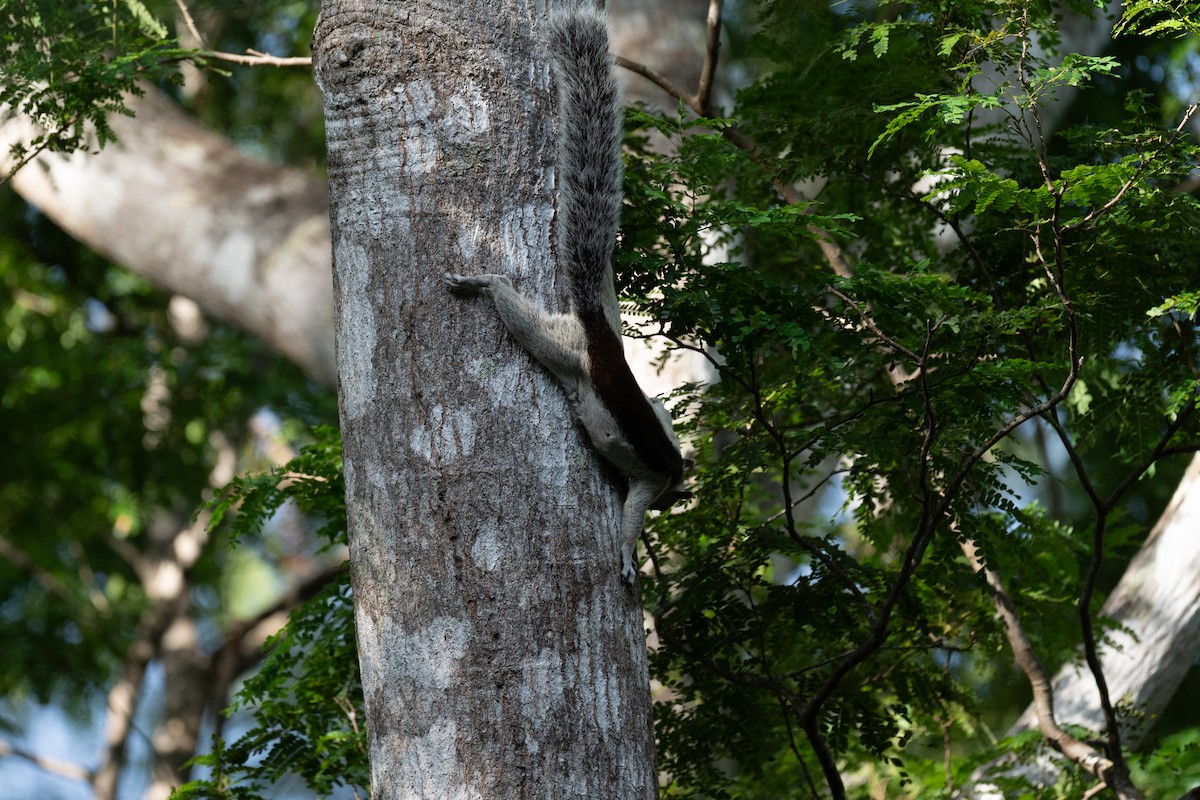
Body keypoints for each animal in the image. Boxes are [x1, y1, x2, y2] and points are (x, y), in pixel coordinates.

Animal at [444, 7, 690, 585]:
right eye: (673, 497)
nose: (681, 499)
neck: (674, 467)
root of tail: (600, 333)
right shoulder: (651, 481)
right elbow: (632, 514)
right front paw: (626, 556)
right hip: (565, 349)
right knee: (523, 321)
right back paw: (485, 285)